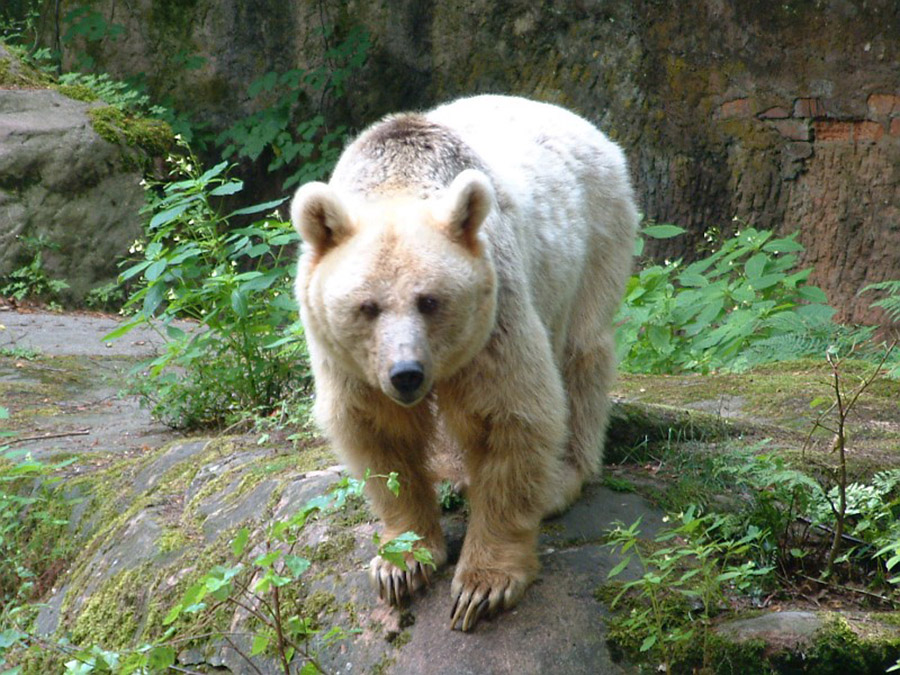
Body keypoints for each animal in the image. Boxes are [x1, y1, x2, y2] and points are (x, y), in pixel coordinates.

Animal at [290, 94, 637, 631]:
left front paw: (483, 585)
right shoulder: (346, 360)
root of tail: (572, 117)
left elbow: (510, 419)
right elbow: (378, 434)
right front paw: (401, 563)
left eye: (430, 300)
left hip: (594, 243)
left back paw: (563, 477)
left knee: (582, 357)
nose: (405, 374)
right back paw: (454, 474)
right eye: (367, 306)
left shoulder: (495, 317)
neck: (397, 177)